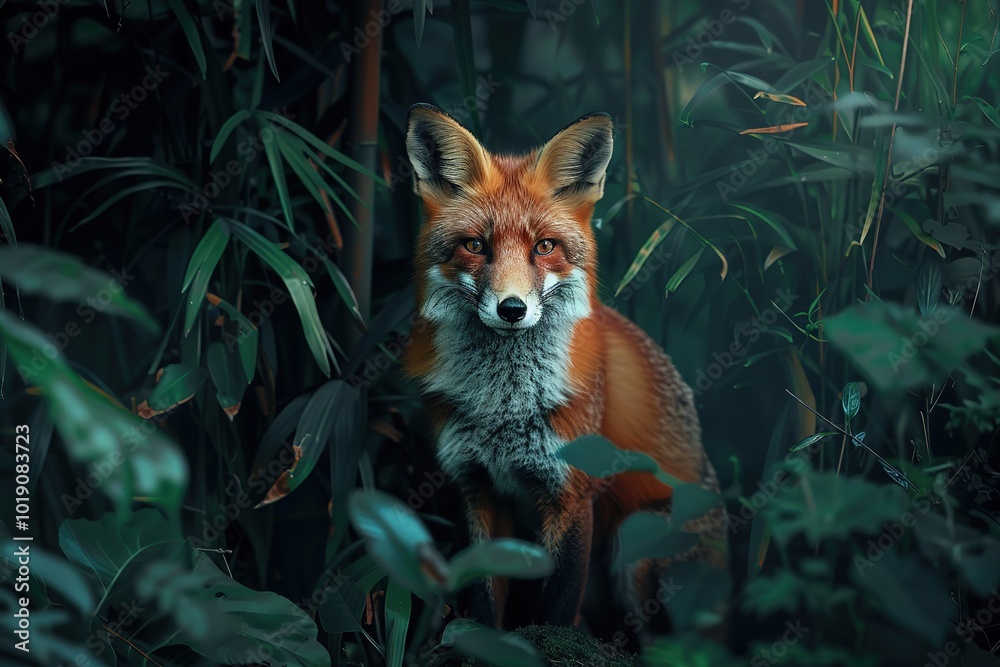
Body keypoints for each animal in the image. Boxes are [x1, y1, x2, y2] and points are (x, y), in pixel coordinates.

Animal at [402, 103, 727, 639]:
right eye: (476, 245)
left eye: (544, 247)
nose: (512, 309)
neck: (503, 407)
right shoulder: (476, 485)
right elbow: (483, 598)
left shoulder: (572, 491)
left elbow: (557, 604)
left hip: (638, 553)